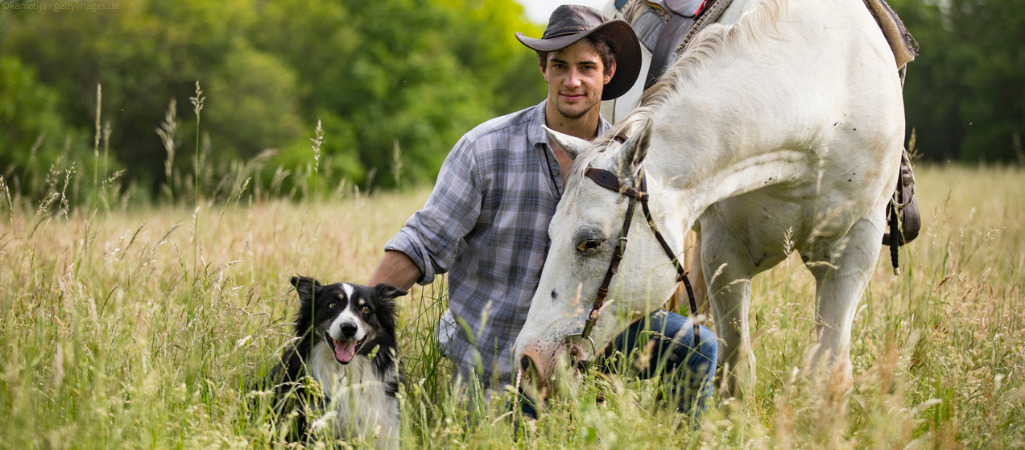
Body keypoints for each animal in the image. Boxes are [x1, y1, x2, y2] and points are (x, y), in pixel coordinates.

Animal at [512, 0, 906, 397]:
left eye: (589, 243)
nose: (529, 359)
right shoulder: (726, 252)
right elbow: (737, 371)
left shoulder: (853, 251)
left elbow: (829, 374)